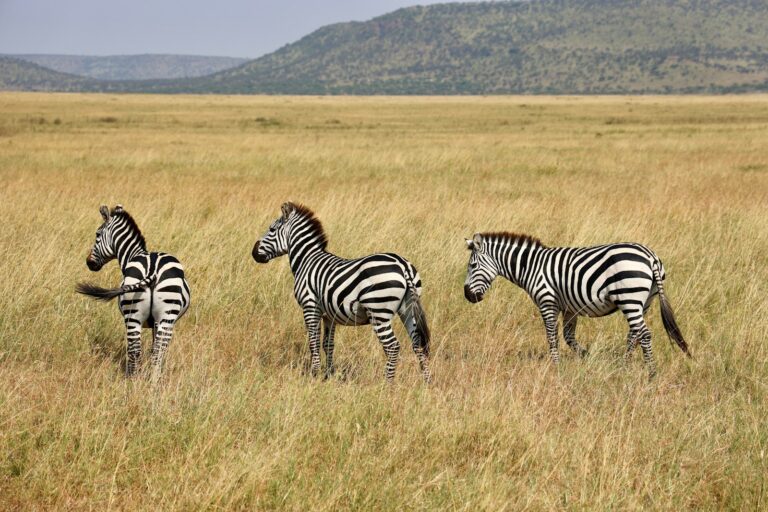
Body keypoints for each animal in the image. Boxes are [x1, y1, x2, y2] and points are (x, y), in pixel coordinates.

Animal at [76, 205, 190, 382]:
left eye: (97, 234)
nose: (89, 263)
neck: (134, 254)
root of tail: (152, 269)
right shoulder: (156, 323)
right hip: (160, 317)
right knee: (150, 352)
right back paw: (146, 384)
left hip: (138, 315)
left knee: (139, 351)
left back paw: (137, 383)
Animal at [252, 202, 431, 383]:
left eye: (272, 229)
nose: (253, 252)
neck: (306, 260)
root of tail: (403, 265)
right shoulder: (329, 316)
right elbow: (328, 344)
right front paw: (328, 374)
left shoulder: (310, 307)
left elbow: (313, 342)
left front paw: (314, 375)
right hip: (407, 310)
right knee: (418, 344)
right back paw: (426, 382)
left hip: (379, 312)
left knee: (393, 347)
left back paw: (388, 384)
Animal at [463, 232, 690, 377]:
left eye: (472, 266)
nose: (467, 296)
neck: (531, 267)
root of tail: (651, 257)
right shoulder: (569, 308)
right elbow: (568, 336)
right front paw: (586, 357)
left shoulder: (547, 301)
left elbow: (552, 336)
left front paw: (555, 366)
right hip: (644, 301)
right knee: (634, 334)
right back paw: (625, 365)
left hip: (629, 297)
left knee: (644, 333)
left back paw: (651, 372)